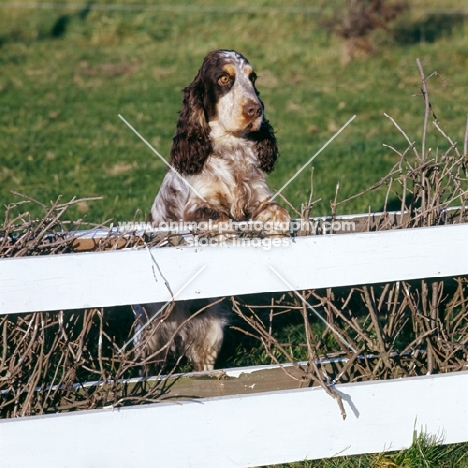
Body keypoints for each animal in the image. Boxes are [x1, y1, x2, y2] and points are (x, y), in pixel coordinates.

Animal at [133, 50, 290, 372]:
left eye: (252, 77)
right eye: (224, 78)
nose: (255, 109)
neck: (231, 149)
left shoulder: (259, 199)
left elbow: (278, 212)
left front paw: (277, 232)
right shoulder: (195, 208)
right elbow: (219, 217)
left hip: (212, 331)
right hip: (149, 336)